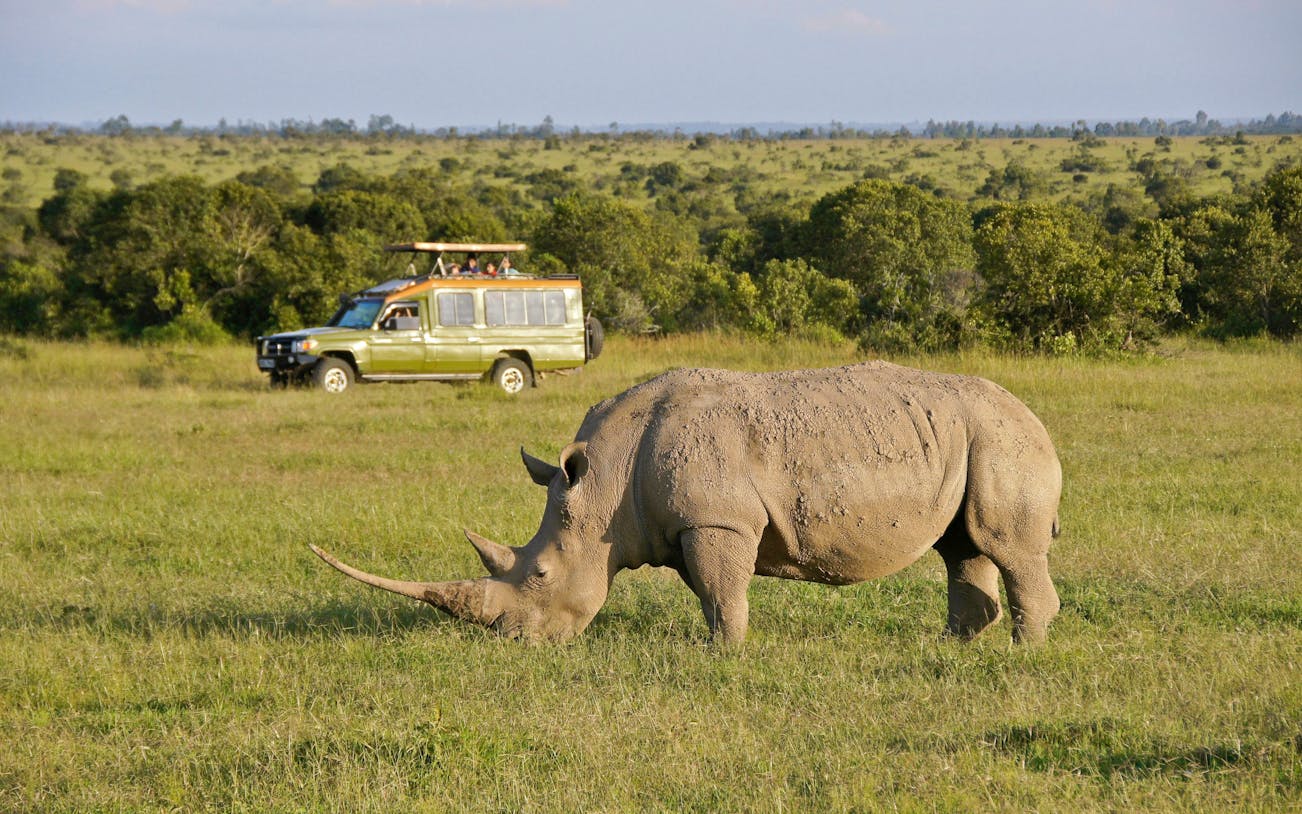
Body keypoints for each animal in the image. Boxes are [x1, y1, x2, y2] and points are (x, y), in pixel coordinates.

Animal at [311, 361, 1062, 644]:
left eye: (542, 575)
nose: (517, 642)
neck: (604, 482)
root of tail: (1038, 421)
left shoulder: (716, 519)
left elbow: (721, 592)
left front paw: (724, 655)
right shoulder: (686, 525)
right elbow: (709, 589)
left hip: (1004, 441)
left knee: (1004, 546)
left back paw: (1022, 652)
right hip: (969, 438)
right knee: (962, 546)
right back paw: (958, 646)